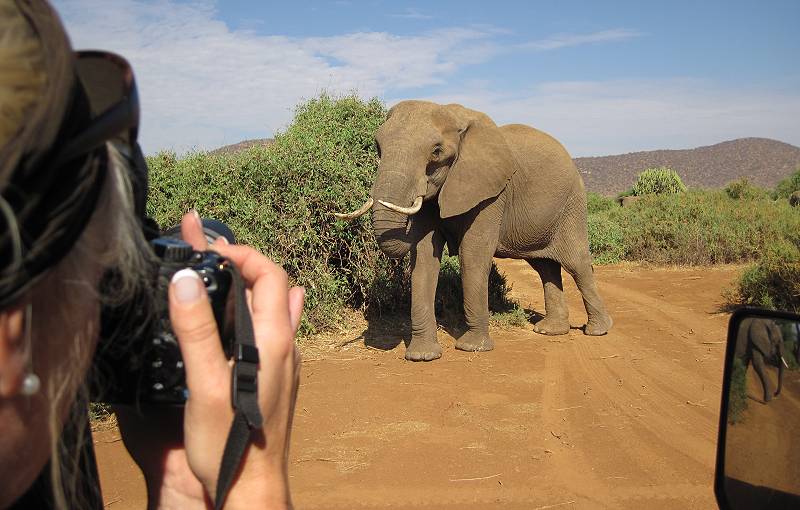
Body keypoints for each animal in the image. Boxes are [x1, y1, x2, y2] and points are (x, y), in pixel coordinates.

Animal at [332, 101, 612, 360]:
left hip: (572, 204)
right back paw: (550, 330)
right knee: (545, 266)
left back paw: (598, 330)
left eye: (436, 152)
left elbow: (472, 255)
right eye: (378, 147)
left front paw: (472, 348)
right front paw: (422, 356)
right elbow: (423, 258)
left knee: (577, 263)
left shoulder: (491, 193)